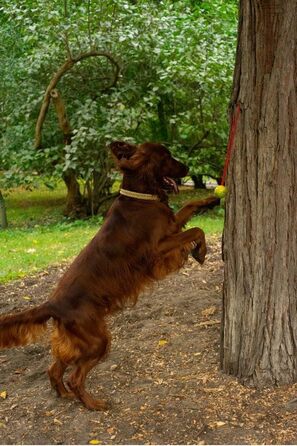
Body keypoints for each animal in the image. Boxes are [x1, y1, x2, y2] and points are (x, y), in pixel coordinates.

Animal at [0, 141, 217, 410]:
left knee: (54, 368)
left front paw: (211, 200)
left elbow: (189, 207)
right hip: (96, 340)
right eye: (166, 157)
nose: (187, 168)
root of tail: (52, 304)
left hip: (76, 341)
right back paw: (94, 404)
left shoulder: (171, 225)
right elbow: (196, 229)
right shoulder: (156, 249)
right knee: (74, 377)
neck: (142, 198)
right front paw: (201, 250)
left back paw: (65, 395)